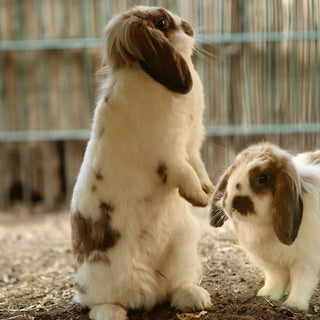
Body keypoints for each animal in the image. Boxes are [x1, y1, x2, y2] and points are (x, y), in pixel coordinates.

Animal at [71, 5, 214, 320]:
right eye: (161, 23)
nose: (189, 27)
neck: (147, 76)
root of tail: (148, 291)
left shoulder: (191, 145)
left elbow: (198, 167)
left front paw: (208, 192)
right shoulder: (168, 153)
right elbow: (184, 173)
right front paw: (198, 198)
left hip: (184, 249)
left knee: (173, 288)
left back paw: (195, 298)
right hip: (96, 276)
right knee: (96, 301)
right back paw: (112, 313)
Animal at [210, 142, 320, 310]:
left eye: (262, 178)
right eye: (233, 169)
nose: (230, 205)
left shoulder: (306, 263)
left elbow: (301, 283)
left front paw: (294, 305)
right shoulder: (273, 264)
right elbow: (277, 279)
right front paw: (266, 295)